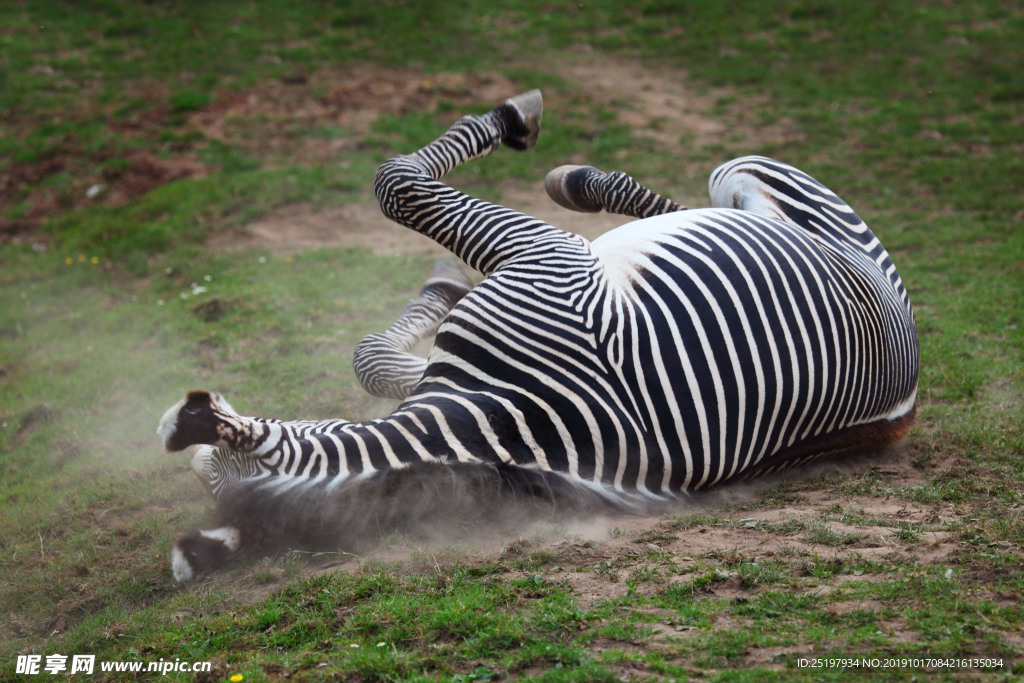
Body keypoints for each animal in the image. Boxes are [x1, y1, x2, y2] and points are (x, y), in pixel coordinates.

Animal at [159, 89, 921, 581]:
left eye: (205, 469)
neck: (499, 423)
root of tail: (904, 407)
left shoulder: (544, 256)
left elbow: (394, 190)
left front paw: (506, 126)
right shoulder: (545, 264)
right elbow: (390, 241)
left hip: (748, 180)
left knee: (681, 203)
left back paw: (569, 178)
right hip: (752, 185)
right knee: (688, 203)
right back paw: (576, 178)